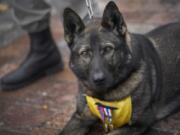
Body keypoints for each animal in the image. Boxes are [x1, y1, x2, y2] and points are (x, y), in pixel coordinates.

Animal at [59, 1, 180, 135]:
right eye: (85, 53)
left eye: (108, 49)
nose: (98, 79)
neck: (104, 97)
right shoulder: (80, 118)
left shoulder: (137, 124)